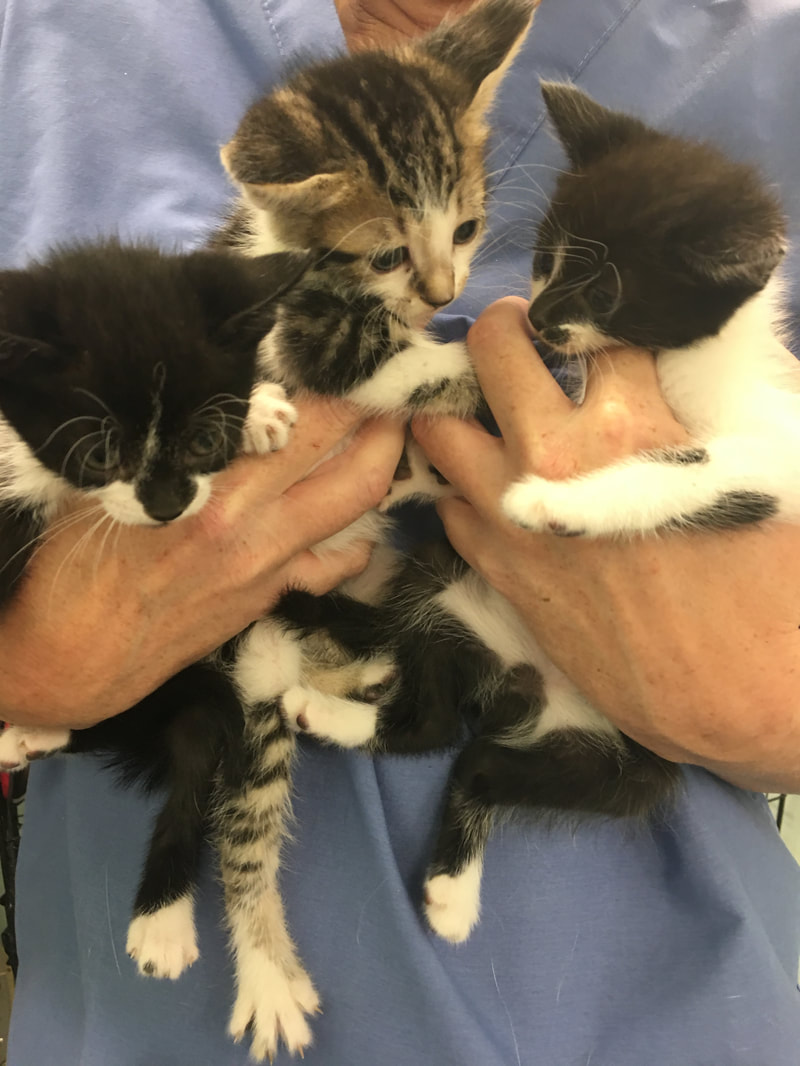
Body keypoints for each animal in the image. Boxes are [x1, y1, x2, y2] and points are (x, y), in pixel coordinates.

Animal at [0, 239, 309, 976]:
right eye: (99, 450)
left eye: (204, 440)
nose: (167, 505)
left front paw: (258, 412)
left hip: (204, 690)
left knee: (194, 750)